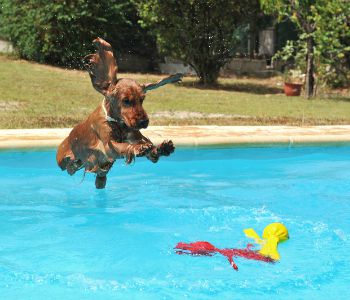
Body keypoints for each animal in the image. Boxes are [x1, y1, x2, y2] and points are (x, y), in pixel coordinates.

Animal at [56, 37, 182, 188]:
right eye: (126, 100)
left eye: (142, 99)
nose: (144, 122)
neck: (118, 123)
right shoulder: (108, 145)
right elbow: (124, 146)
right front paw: (137, 148)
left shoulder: (135, 136)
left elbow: (152, 152)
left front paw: (163, 148)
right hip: (63, 159)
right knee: (69, 166)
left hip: (100, 174)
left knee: (99, 177)